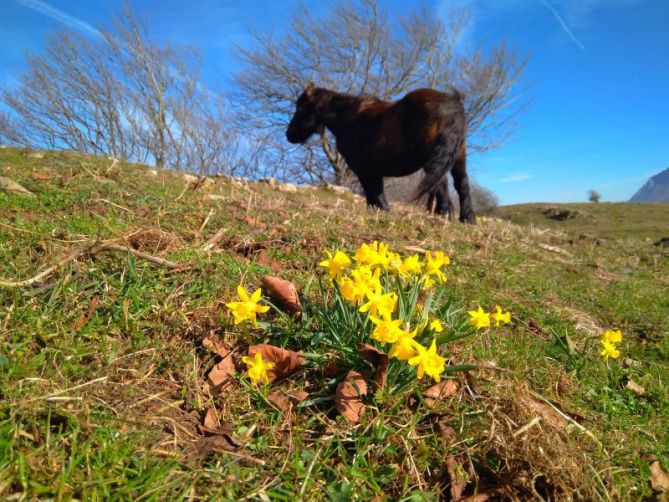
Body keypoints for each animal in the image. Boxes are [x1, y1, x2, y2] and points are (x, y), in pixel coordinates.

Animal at [284, 83, 472, 223]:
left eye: (300, 107)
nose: (289, 135)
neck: (348, 117)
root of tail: (452, 102)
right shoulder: (374, 170)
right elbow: (377, 191)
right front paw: (383, 211)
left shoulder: (362, 169)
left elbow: (371, 192)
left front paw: (377, 211)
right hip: (457, 159)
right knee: (461, 185)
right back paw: (466, 219)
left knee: (441, 184)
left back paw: (445, 214)